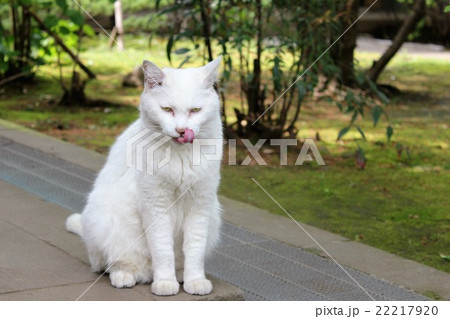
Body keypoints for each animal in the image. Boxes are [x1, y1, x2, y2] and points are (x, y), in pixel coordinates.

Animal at [65, 57, 223, 298]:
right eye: (167, 109)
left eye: (195, 110)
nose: (181, 130)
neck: (180, 156)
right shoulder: (155, 204)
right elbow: (162, 249)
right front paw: (165, 282)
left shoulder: (201, 205)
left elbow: (194, 249)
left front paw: (195, 281)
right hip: (106, 222)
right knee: (115, 264)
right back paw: (127, 276)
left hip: (214, 217)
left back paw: (179, 275)